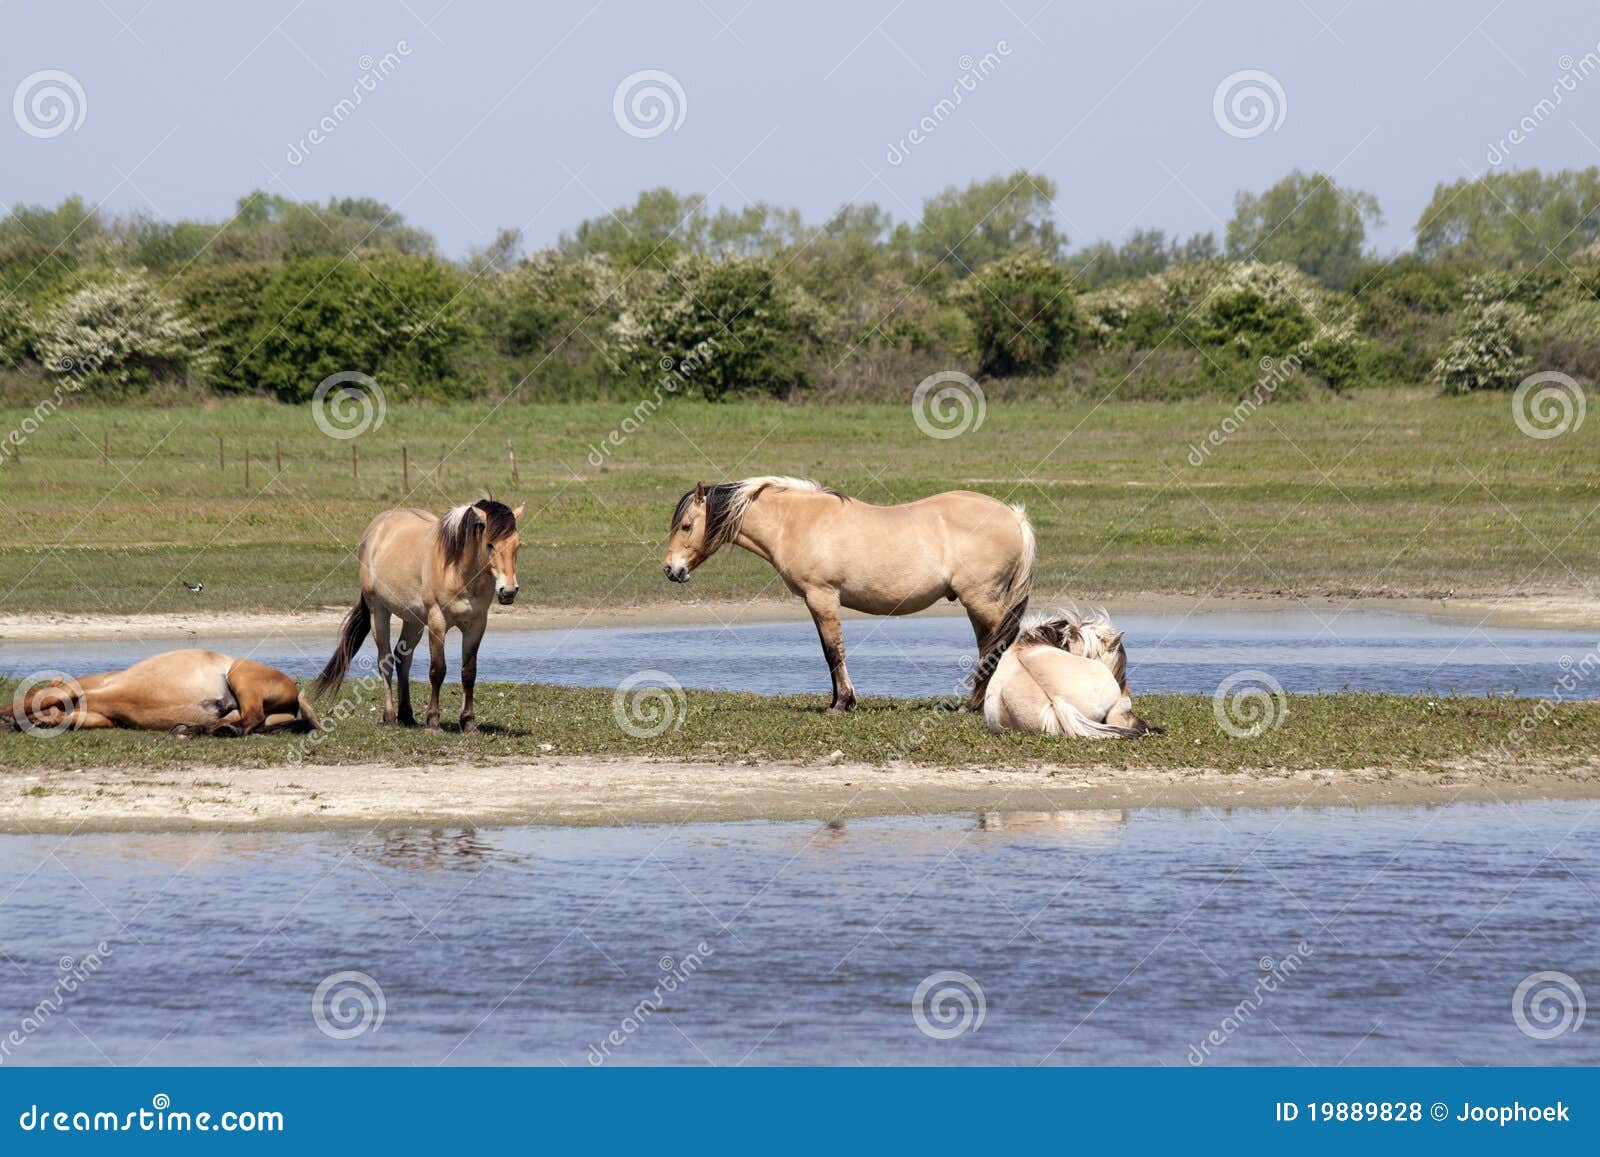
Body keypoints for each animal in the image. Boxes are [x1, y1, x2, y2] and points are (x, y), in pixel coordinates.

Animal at [1, 649, 320, 736]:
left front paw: (9, 717)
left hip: (241, 675)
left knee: (251, 716)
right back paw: (193, 728)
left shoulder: (88, 689)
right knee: (242, 718)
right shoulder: (102, 713)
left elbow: (34, 700)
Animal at [315, 499, 523, 732]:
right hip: (379, 612)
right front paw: (433, 721)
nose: (508, 591)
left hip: (413, 621)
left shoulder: (476, 624)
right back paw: (390, 717)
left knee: (402, 659)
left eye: (517, 544)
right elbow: (437, 671)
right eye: (490, 544)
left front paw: (468, 722)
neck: (457, 570)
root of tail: (375, 529)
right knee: (385, 661)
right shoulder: (437, 622)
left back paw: (407, 715)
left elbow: (469, 672)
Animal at [662, 477, 1035, 712]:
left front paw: (842, 703)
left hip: (981, 600)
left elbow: (833, 651)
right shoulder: (814, 602)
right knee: (989, 644)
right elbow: (827, 652)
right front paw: (836, 700)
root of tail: (1013, 516)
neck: (796, 522)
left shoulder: (822, 597)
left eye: (686, 526)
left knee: (998, 643)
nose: (670, 569)